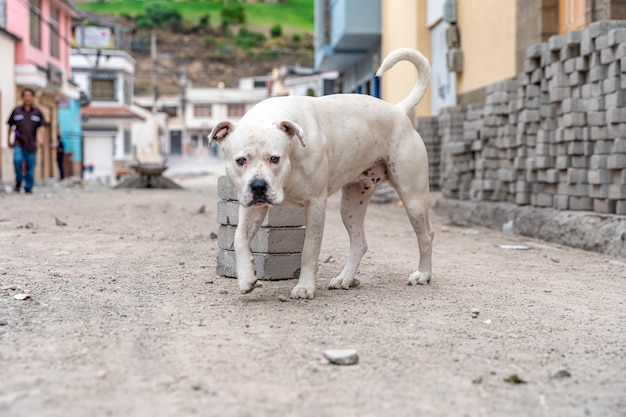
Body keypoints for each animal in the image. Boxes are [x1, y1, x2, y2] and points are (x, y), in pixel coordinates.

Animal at [212, 47, 432, 298]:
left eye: (275, 159)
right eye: (241, 161)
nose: (259, 186)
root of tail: (398, 110)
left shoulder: (315, 203)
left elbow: (309, 249)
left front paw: (305, 287)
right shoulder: (252, 208)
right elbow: (239, 238)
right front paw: (246, 277)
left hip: (413, 197)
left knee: (426, 235)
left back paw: (423, 274)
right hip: (352, 203)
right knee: (359, 242)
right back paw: (345, 278)